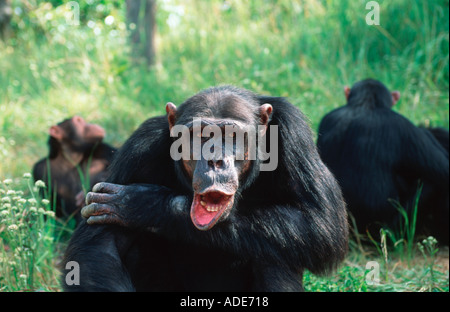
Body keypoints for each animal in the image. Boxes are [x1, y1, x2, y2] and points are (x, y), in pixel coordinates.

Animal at [61, 86, 348, 292]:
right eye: (200, 135)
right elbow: (97, 247)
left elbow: (319, 222)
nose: (214, 159)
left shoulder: (294, 131)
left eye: (232, 135)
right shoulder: (138, 147)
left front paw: (146, 205)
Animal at [318, 78, 448, 244]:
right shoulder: (404, 127)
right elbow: (444, 169)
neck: (366, 103)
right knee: (429, 185)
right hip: (392, 232)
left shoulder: (327, 118)